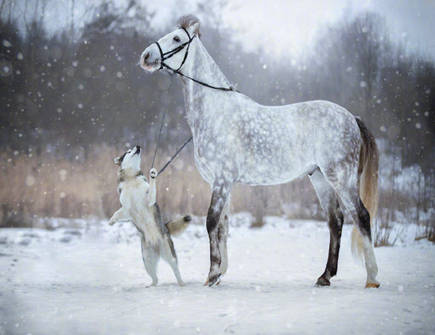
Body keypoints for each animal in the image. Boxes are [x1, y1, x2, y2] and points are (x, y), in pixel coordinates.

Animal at [108, 144, 191, 286]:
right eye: (128, 151)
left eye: (132, 148)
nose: (138, 146)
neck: (131, 179)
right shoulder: (126, 209)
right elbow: (118, 212)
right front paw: (112, 220)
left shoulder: (149, 200)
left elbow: (151, 189)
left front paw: (153, 174)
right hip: (147, 261)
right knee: (155, 278)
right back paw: (151, 285)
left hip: (169, 254)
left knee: (175, 269)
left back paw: (181, 283)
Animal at [141, 15, 382, 288]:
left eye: (176, 38)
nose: (146, 56)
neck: (216, 111)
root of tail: (352, 117)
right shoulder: (220, 183)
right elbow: (222, 226)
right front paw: (220, 273)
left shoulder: (222, 180)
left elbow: (211, 222)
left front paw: (212, 275)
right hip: (320, 177)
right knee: (336, 220)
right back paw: (325, 276)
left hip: (341, 178)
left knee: (361, 216)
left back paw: (372, 278)